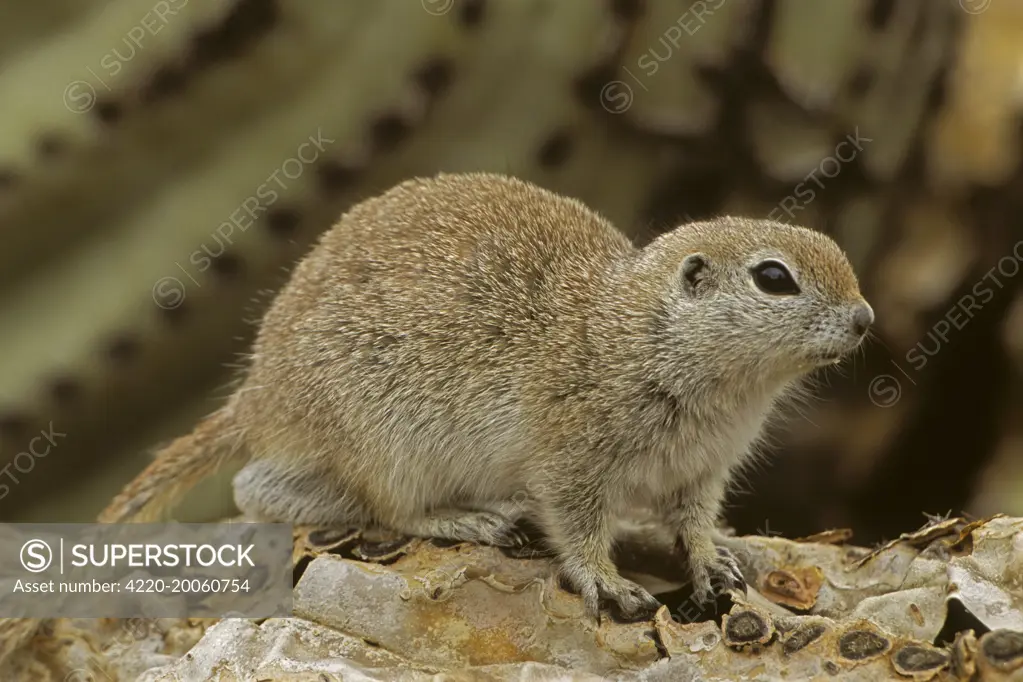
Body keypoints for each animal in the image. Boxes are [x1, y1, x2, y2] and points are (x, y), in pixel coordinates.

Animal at [99, 171, 875, 617]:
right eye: (774, 278)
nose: (866, 319)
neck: (637, 335)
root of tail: (258, 395)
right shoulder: (570, 462)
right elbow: (578, 526)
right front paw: (607, 581)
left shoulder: (701, 472)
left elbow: (692, 523)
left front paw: (714, 559)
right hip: (389, 446)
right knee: (343, 503)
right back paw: (475, 518)